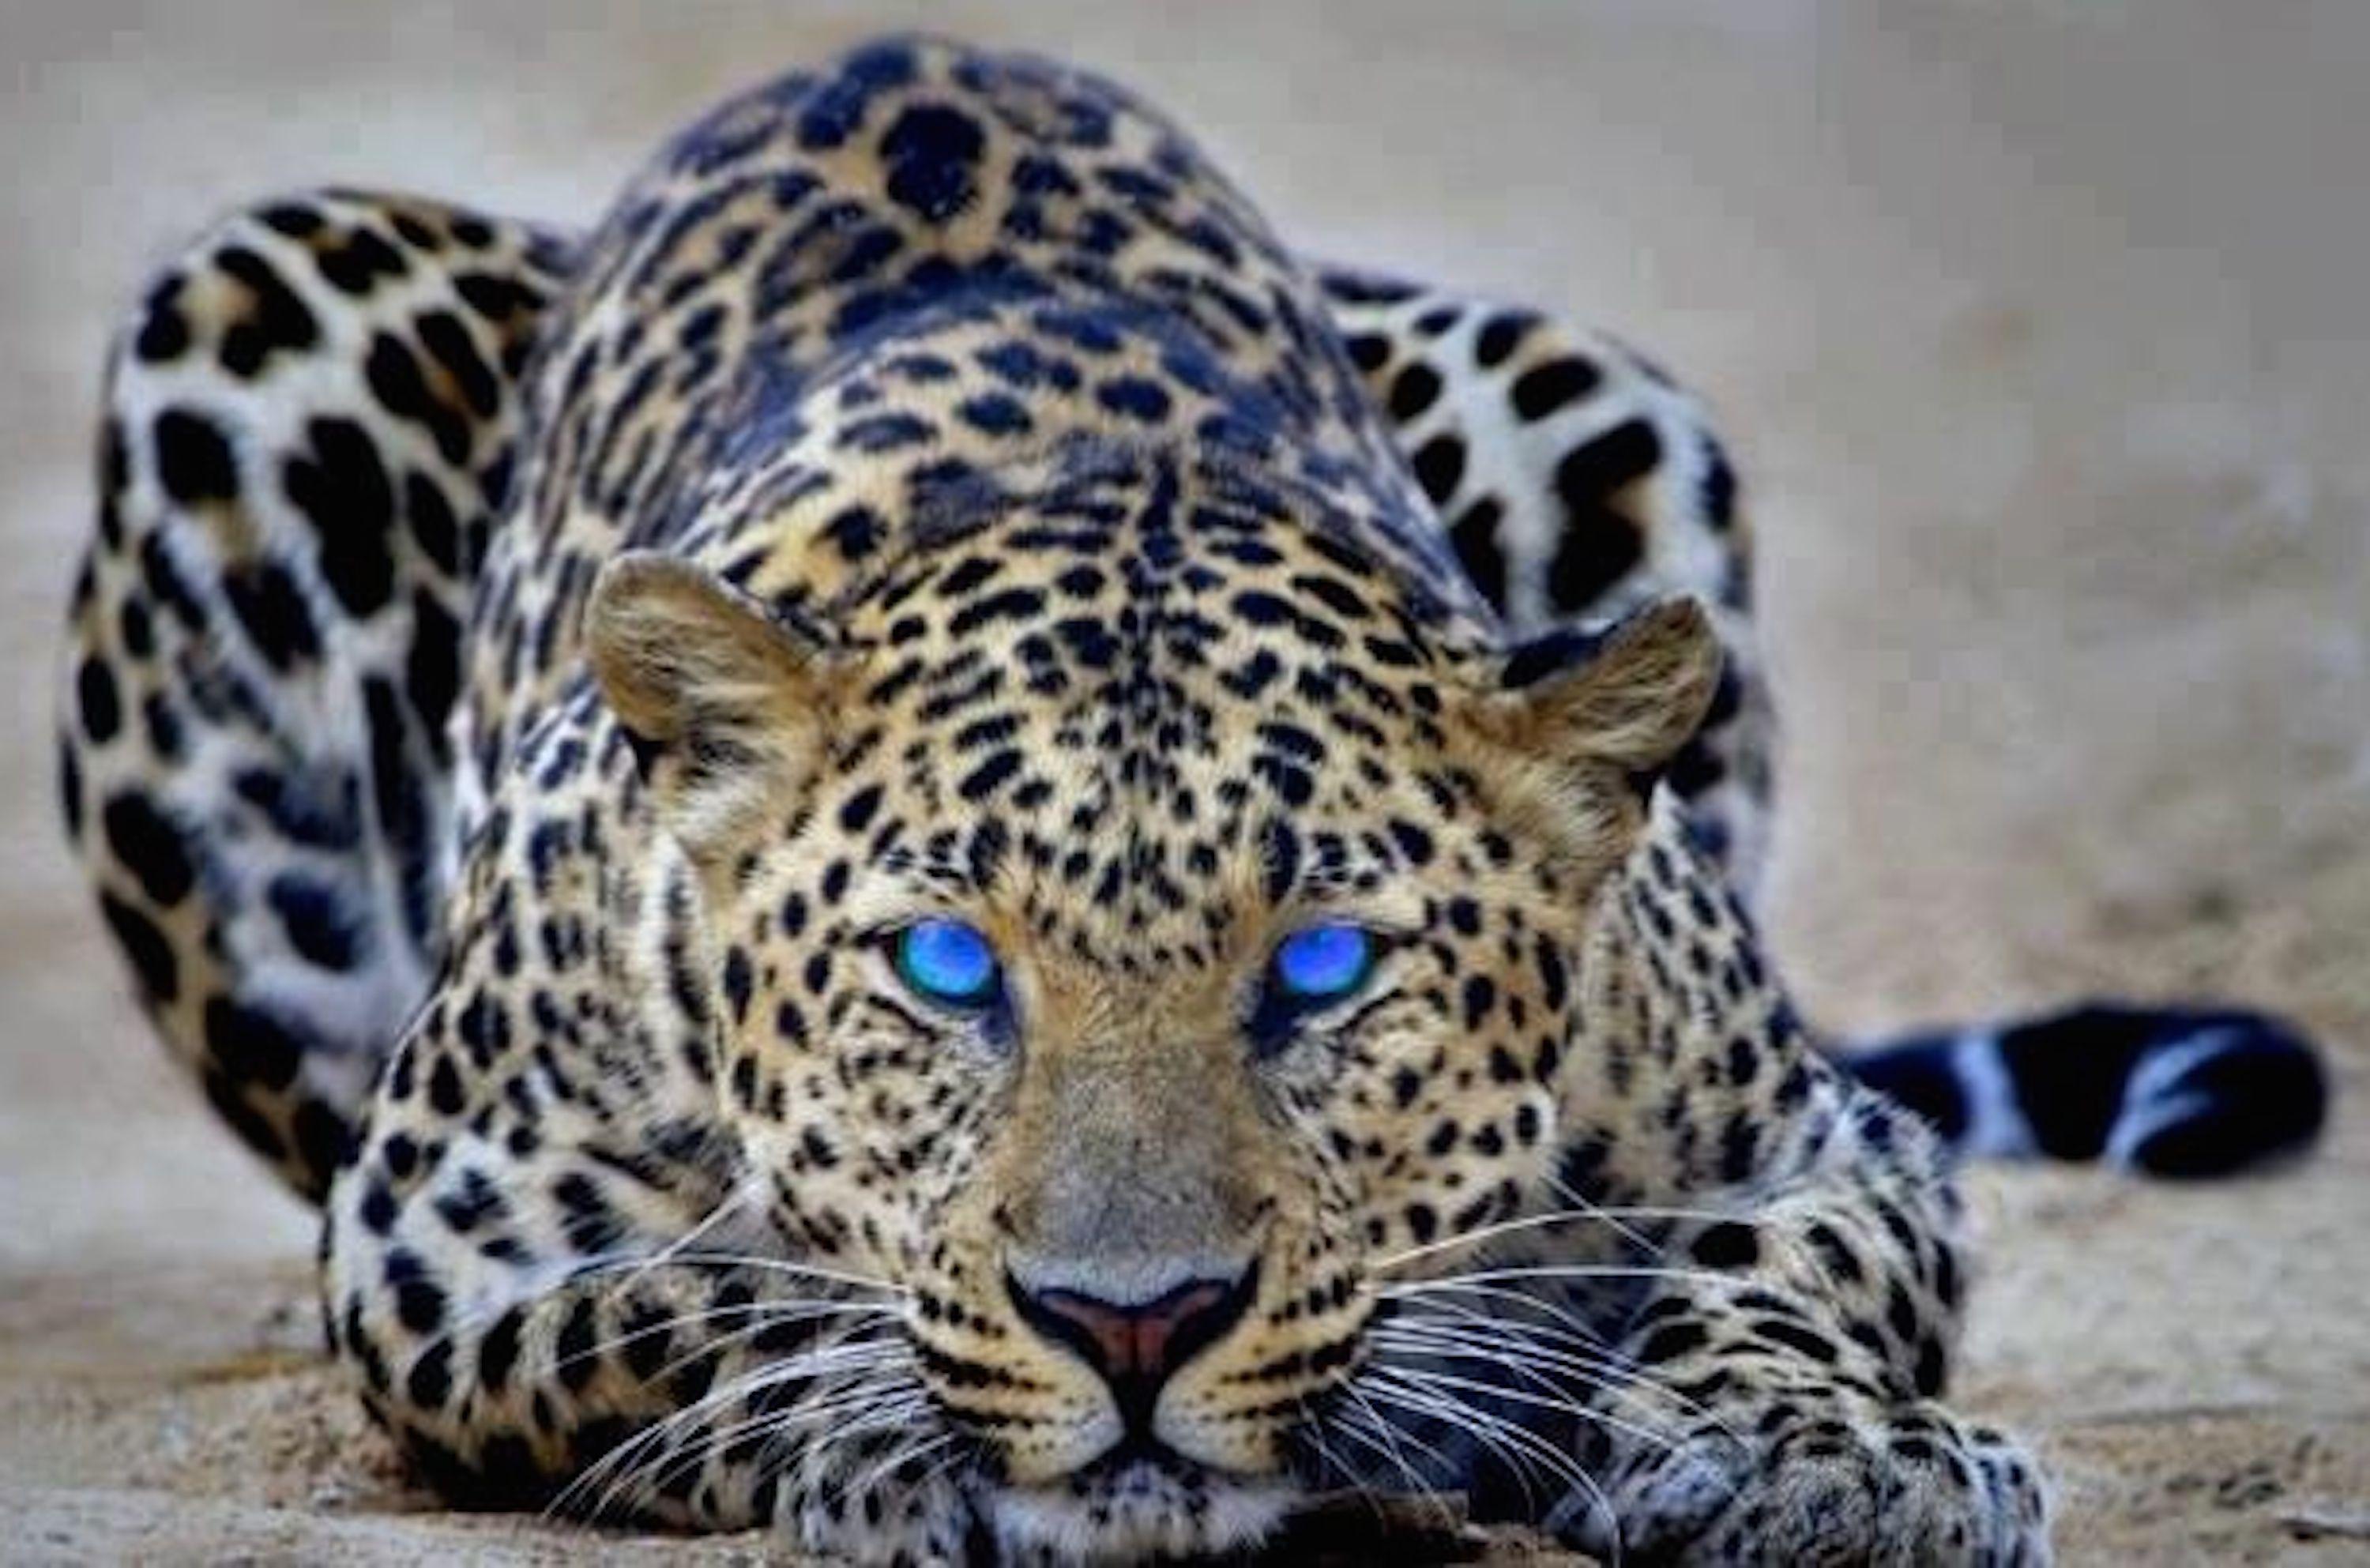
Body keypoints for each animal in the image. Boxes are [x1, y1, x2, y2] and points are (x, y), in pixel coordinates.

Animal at [58, 34, 2327, 1564]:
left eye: (1320, 968)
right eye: (945, 964)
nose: (1131, 1329)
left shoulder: (1814, 1130)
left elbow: (1798, 1263)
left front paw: (1822, 1453)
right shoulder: (436, 1227)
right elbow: (700, 1296)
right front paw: (897, 1418)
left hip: (1594, 387)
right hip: (245, 315)